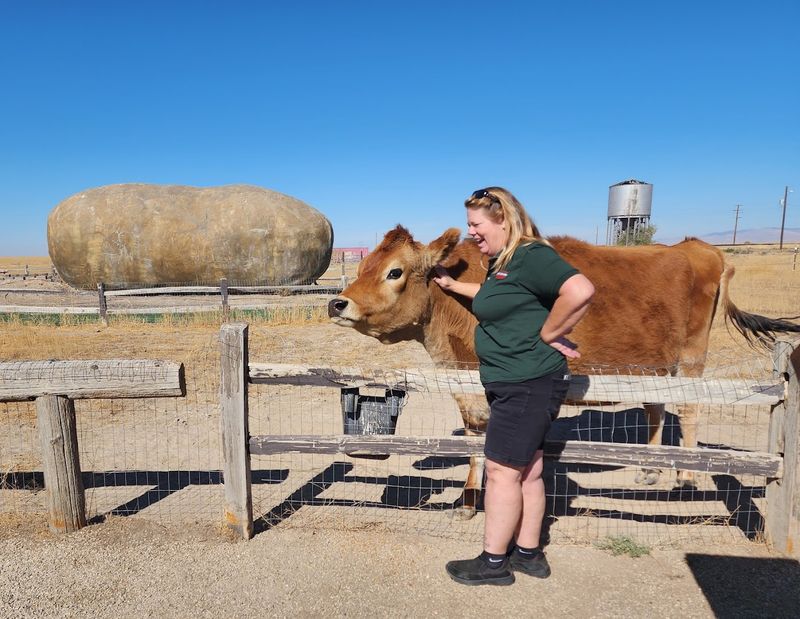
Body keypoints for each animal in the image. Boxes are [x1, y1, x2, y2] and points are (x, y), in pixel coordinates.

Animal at [328, 225, 800, 518]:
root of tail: (696, 246)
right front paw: (469, 500)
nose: (337, 302)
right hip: (654, 363)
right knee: (655, 407)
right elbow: (476, 444)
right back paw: (650, 467)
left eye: (394, 271)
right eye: (362, 266)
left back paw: (684, 477)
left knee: (689, 410)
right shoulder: (469, 394)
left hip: (691, 358)